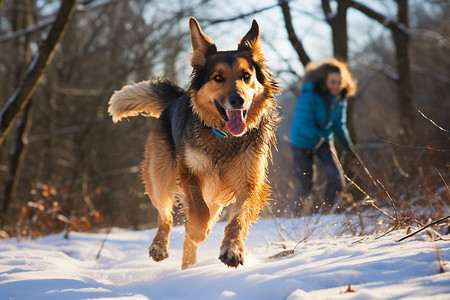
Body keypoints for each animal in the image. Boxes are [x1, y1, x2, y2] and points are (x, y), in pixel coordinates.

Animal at [107, 16, 280, 270]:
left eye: (246, 76)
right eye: (218, 78)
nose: (237, 100)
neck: (224, 137)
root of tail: (176, 99)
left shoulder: (250, 182)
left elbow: (240, 217)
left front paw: (232, 249)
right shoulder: (188, 169)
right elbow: (197, 210)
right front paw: (198, 230)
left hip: (215, 196)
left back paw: (189, 265)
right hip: (160, 175)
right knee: (165, 215)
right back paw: (160, 246)